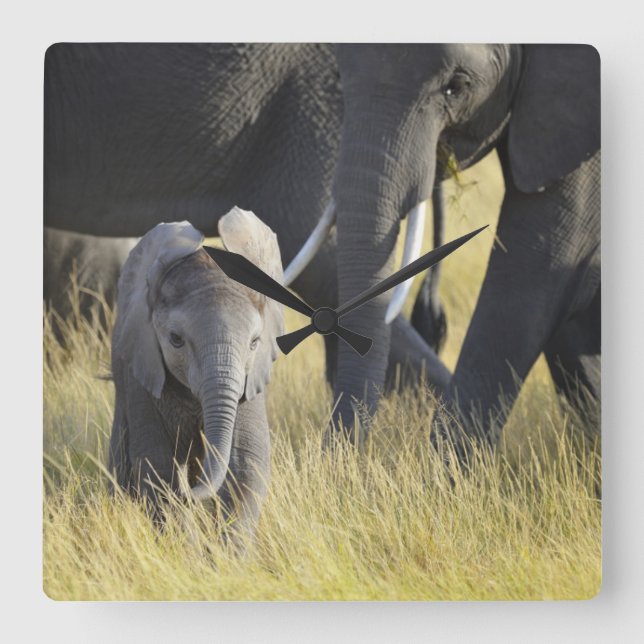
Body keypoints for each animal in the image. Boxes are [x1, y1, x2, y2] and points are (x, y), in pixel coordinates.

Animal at [108, 207, 283, 539]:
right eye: (176, 340)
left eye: (255, 342)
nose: (193, 490)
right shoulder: (142, 370)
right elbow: (158, 467)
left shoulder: (250, 380)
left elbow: (246, 462)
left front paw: (226, 553)